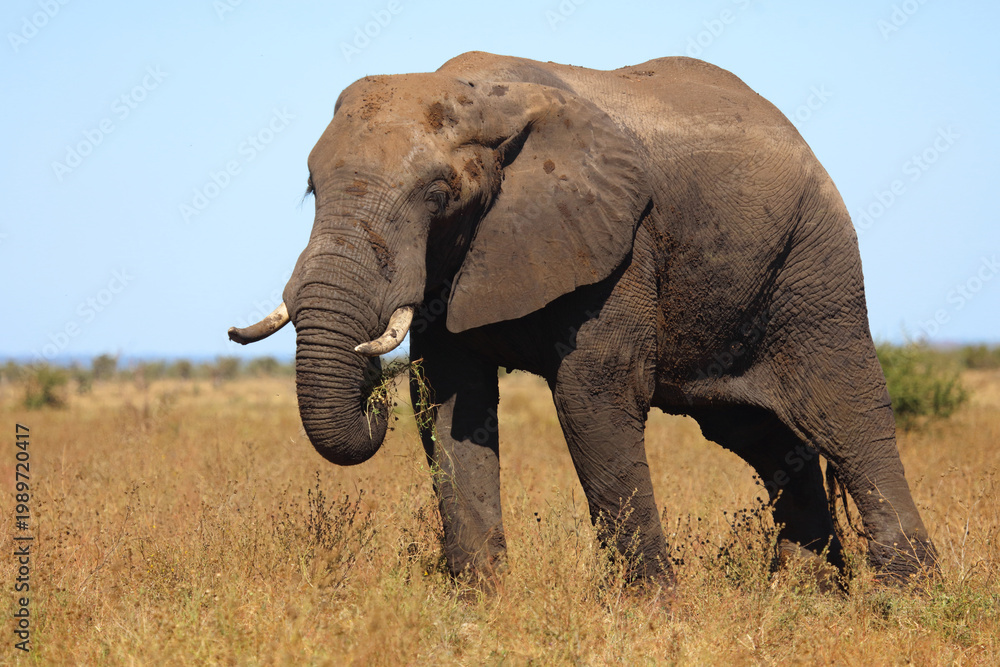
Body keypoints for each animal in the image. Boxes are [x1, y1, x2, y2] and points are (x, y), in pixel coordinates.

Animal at [229, 51, 937, 588]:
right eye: (311, 189)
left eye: (437, 193)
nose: (371, 390)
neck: (484, 98)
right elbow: (449, 402)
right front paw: (482, 607)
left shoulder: (619, 243)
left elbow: (593, 395)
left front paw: (651, 612)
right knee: (764, 438)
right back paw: (805, 594)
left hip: (815, 263)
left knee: (846, 415)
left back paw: (905, 600)